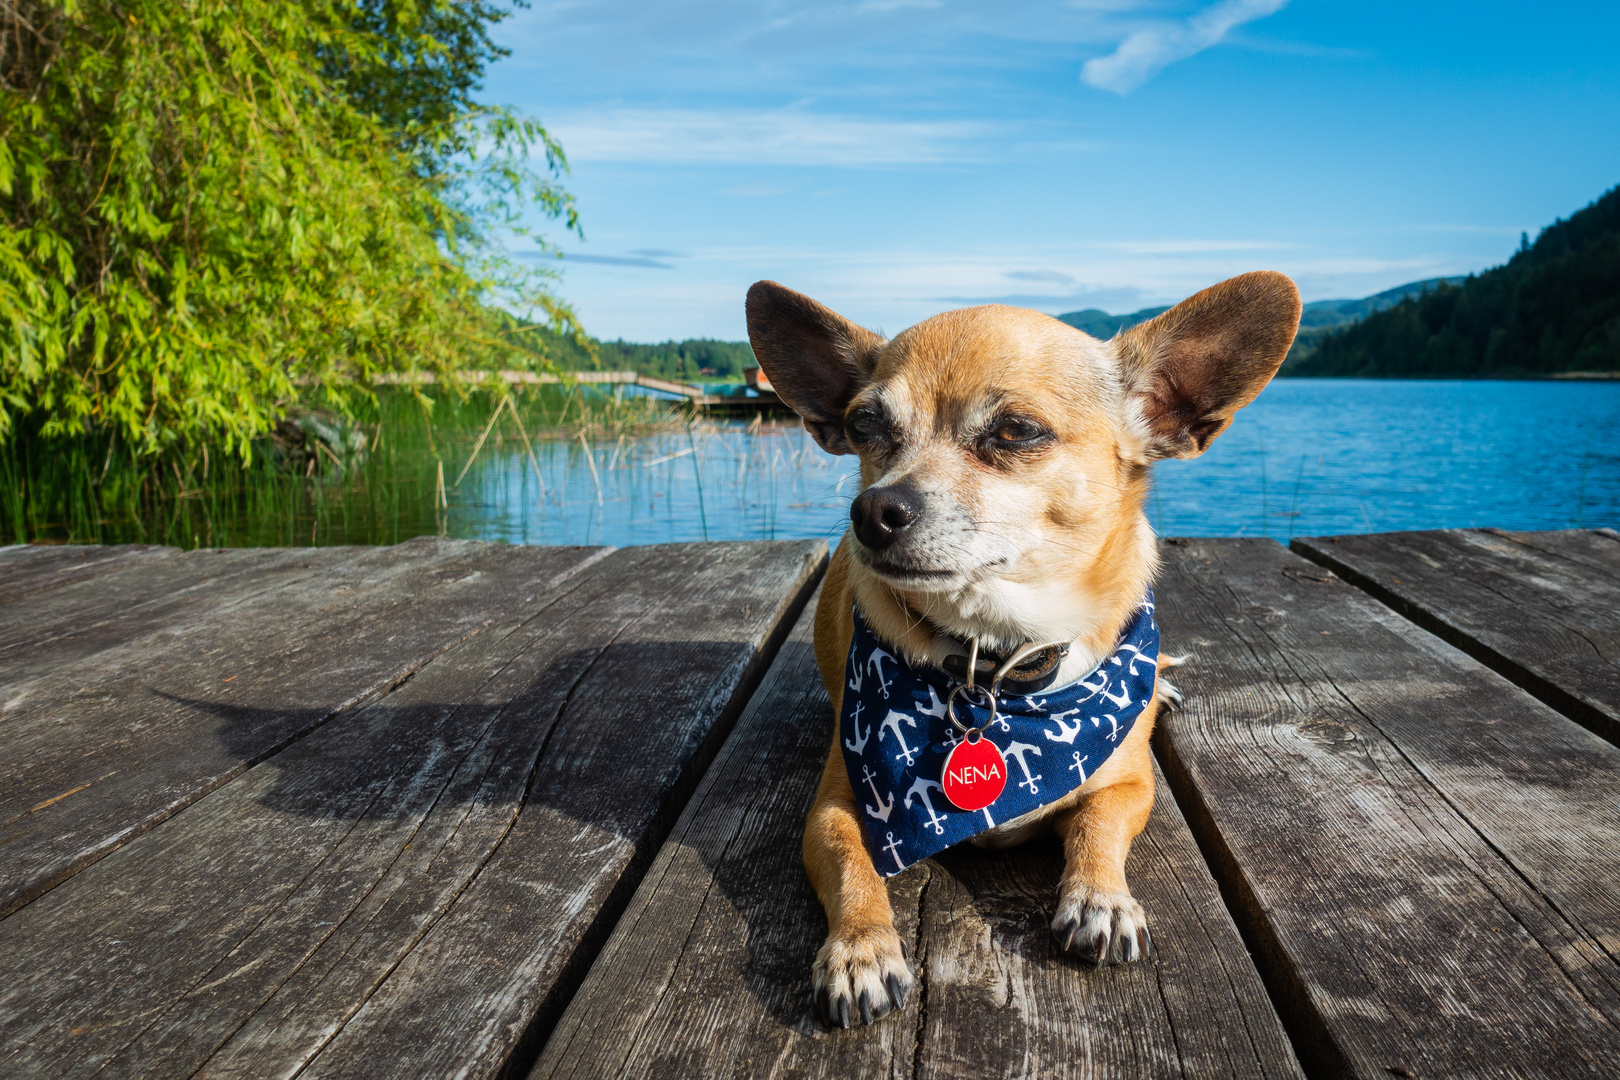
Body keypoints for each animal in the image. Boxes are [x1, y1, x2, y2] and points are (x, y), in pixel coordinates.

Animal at [745, 272, 1302, 1029]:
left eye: (1014, 431)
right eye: (865, 427)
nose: (873, 510)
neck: (999, 657)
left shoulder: (1130, 785)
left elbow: (1097, 826)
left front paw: (1100, 899)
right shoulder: (833, 808)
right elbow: (854, 867)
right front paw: (860, 950)